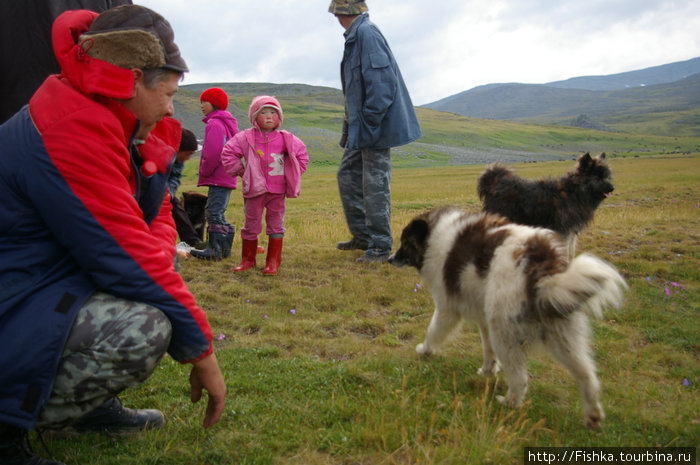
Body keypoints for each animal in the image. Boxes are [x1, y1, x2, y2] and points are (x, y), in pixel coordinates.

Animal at [388, 208, 628, 428]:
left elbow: (433, 330)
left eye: (405, 243)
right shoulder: (483, 317)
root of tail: (541, 270)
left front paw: (425, 350)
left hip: (505, 332)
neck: (432, 238)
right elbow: (487, 348)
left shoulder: (448, 308)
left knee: (520, 378)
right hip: (562, 334)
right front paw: (487, 370)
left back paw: (510, 402)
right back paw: (592, 416)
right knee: (587, 376)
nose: (390, 259)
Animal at [476, 151, 612, 254]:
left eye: (607, 176)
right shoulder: (563, 231)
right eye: (598, 177)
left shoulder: (571, 233)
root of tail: (493, 183)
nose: (612, 188)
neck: (575, 192)